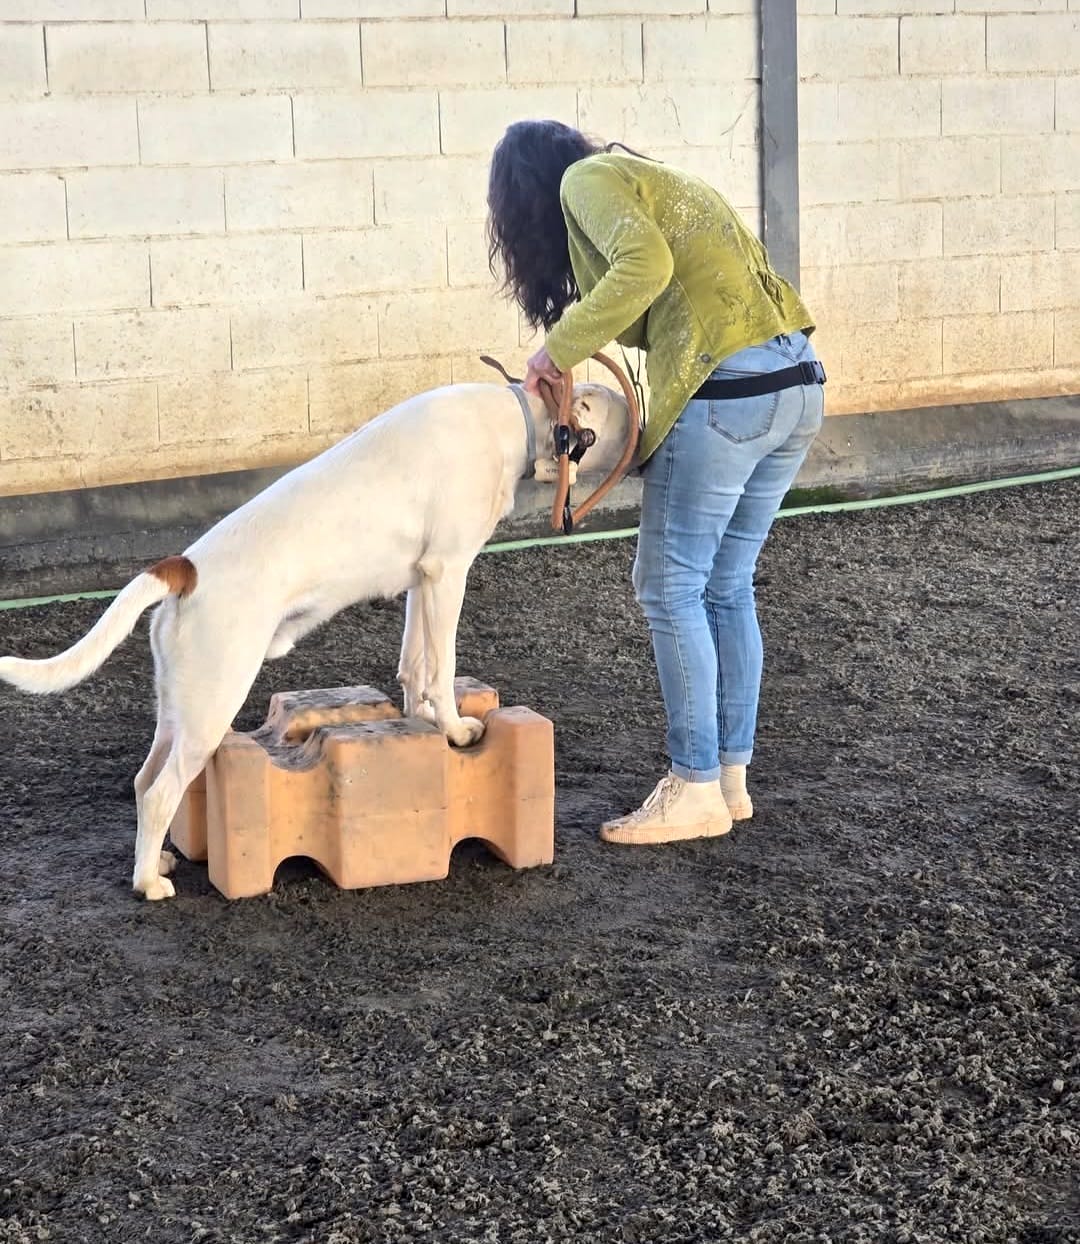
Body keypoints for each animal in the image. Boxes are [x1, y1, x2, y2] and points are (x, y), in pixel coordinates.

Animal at [0, 378, 624, 895]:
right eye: (611, 403)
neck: (513, 416)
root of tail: (184, 568)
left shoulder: (422, 581)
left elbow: (416, 663)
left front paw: (418, 717)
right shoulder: (448, 572)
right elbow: (442, 667)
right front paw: (452, 729)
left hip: (180, 710)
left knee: (142, 780)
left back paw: (158, 861)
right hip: (210, 712)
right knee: (158, 794)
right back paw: (148, 884)